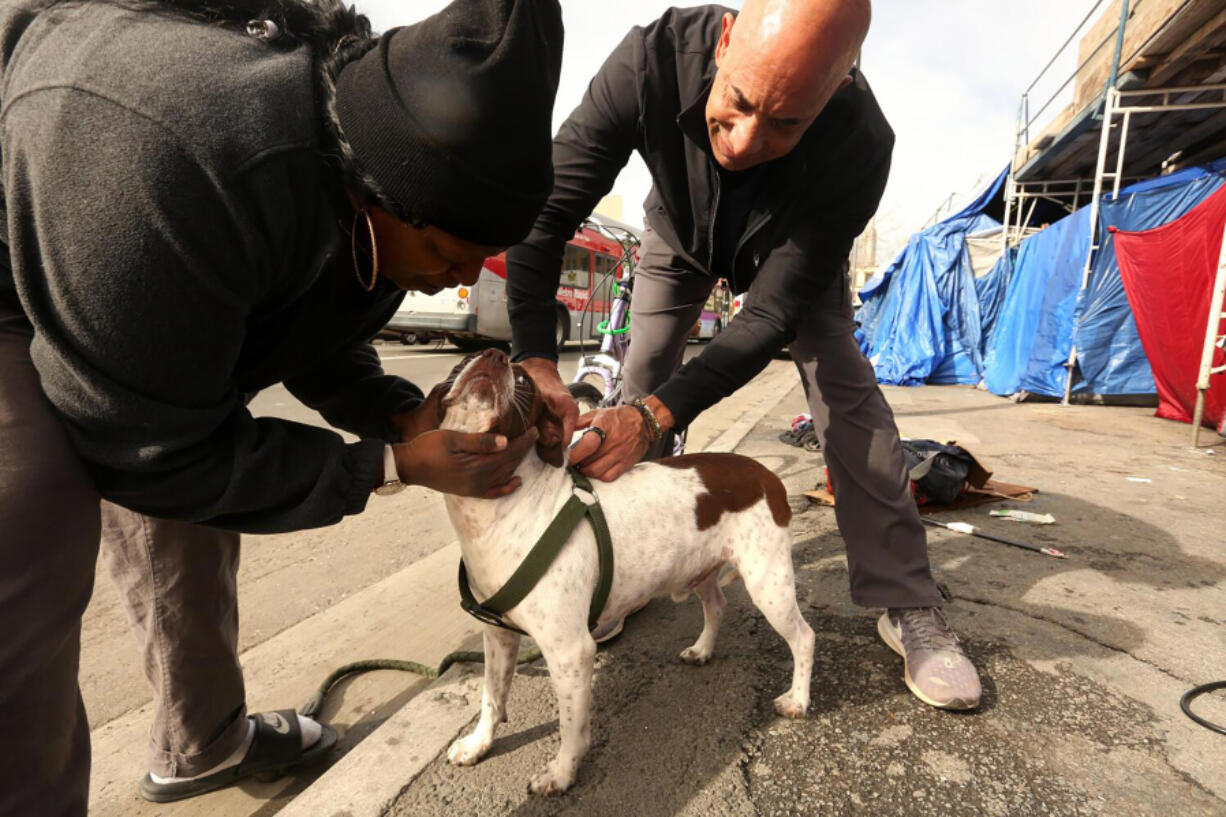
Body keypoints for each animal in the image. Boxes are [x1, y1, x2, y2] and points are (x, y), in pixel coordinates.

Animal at [436, 345, 809, 790]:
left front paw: (562, 772)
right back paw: (703, 649)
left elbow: (571, 727)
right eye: (460, 365)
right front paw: (479, 744)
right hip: (701, 568)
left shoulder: (570, 651)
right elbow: (491, 699)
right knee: (717, 605)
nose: (492, 354)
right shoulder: (498, 637)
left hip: (769, 583)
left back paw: (799, 699)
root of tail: (767, 474)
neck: (499, 513)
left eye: (523, 379)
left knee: (804, 637)